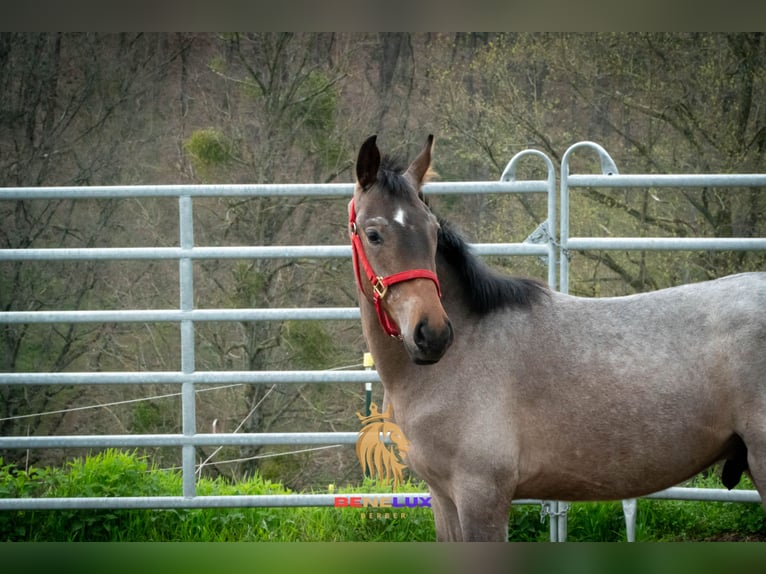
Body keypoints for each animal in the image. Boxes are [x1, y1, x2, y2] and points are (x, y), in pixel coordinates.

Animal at [352, 133, 766, 544]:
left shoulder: (481, 494)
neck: (462, 353)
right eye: (373, 235)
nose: (433, 334)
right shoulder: (443, 498)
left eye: (433, 232)